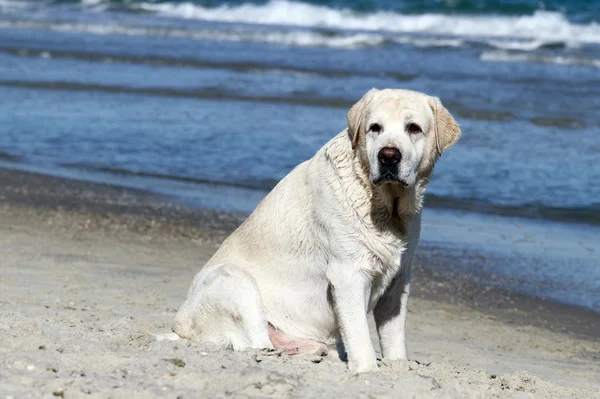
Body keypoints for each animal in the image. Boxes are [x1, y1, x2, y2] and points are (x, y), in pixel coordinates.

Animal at [171, 88, 462, 376]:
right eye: (374, 128)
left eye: (413, 128)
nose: (388, 155)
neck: (386, 209)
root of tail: (179, 327)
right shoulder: (348, 273)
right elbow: (359, 335)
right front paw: (367, 370)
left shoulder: (397, 282)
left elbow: (394, 339)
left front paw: (397, 365)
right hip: (233, 280)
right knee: (256, 342)